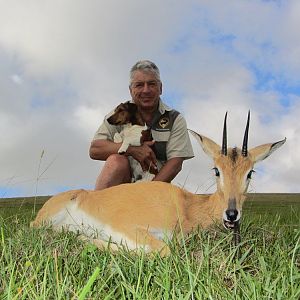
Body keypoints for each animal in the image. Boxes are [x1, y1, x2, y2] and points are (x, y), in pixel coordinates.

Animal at [30, 112, 286, 255]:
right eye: (216, 170)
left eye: (250, 173)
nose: (231, 214)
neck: (187, 207)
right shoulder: (125, 226)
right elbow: (164, 250)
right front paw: (87, 239)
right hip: (45, 222)